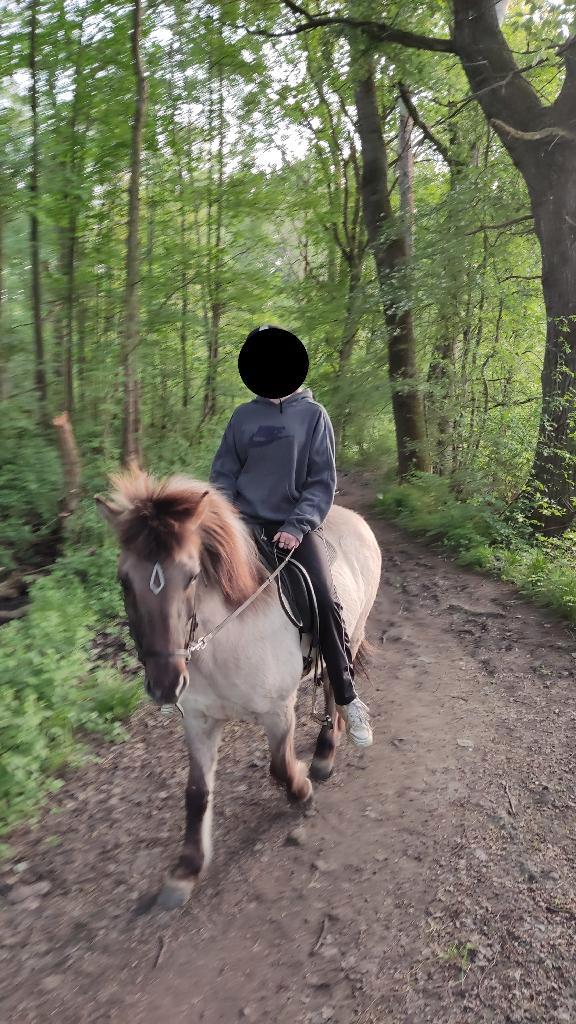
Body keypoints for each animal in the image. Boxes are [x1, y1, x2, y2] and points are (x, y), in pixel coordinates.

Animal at [96, 470, 381, 908]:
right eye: (124, 580)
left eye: (192, 576)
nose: (165, 685)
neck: (222, 639)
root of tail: (357, 520)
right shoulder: (199, 720)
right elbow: (196, 792)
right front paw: (186, 870)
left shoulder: (278, 711)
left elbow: (279, 766)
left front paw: (303, 789)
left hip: (354, 631)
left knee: (337, 685)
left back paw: (325, 753)